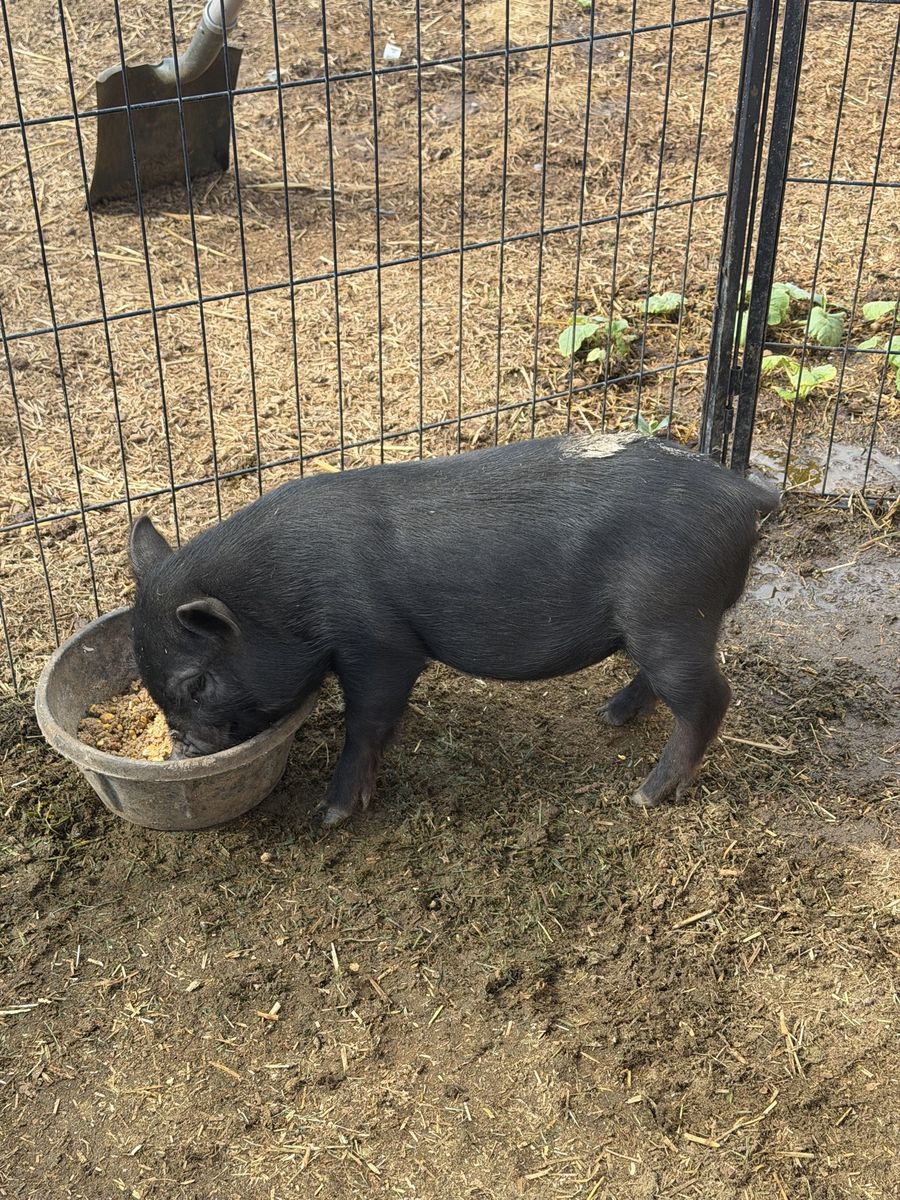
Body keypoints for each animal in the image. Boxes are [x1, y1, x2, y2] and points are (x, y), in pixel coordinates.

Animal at [128, 431, 778, 825]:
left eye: (196, 683)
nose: (182, 749)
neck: (279, 593)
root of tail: (746, 494)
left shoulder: (381, 645)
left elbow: (366, 723)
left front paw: (334, 813)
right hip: (665, 622)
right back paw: (609, 717)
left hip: (671, 611)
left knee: (710, 697)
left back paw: (646, 795)